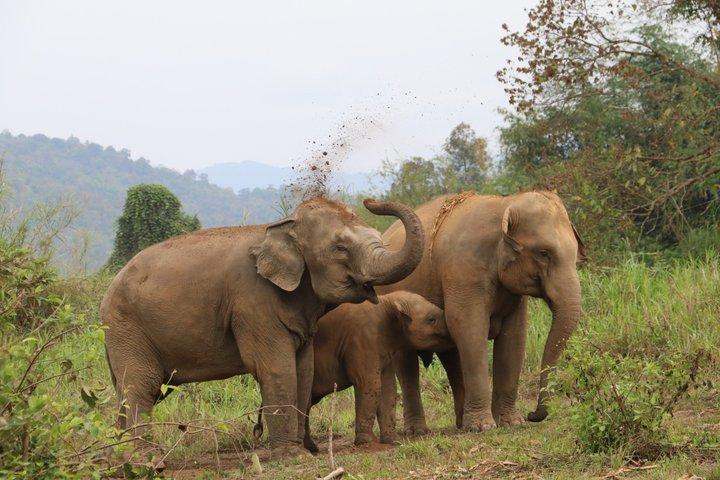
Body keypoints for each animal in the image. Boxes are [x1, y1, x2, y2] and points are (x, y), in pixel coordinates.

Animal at [100, 197, 424, 456]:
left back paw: (119, 458)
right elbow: (277, 368)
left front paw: (302, 450)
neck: (281, 227)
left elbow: (303, 370)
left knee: (128, 391)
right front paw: (290, 455)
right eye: (340, 248)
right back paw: (146, 459)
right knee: (142, 388)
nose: (371, 201)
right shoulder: (252, 303)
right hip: (127, 329)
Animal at [253, 290, 453, 452]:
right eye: (431, 319)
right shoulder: (363, 339)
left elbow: (388, 388)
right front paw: (367, 443)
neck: (387, 301)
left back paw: (311, 448)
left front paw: (393, 442)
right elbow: (370, 383)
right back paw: (309, 448)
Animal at [377, 190, 585, 434]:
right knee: (408, 363)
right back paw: (418, 431)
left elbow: (514, 338)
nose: (533, 415)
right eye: (543, 253)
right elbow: (469, 329)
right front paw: (484, 427)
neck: (504, 204)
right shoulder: (464, 272)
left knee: (451, 356)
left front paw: (511, 422)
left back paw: (461, 423)